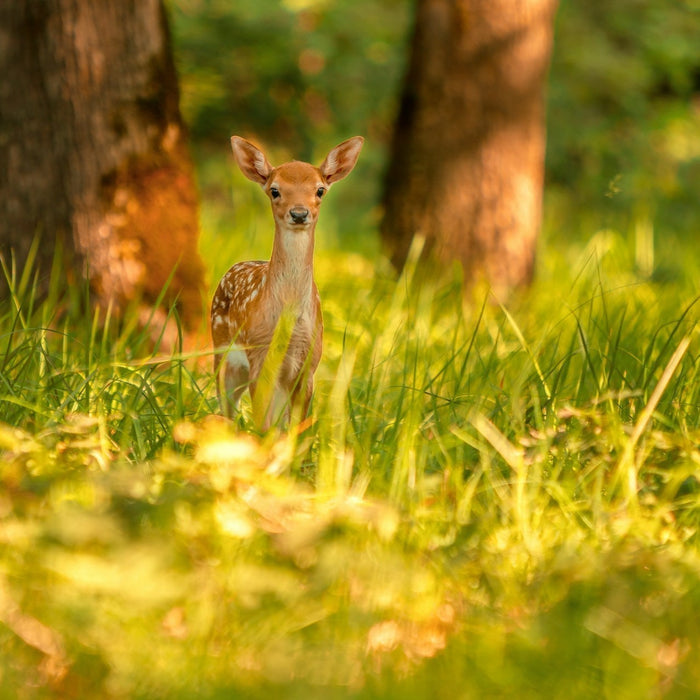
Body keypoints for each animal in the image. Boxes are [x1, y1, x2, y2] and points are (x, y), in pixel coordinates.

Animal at [211, 135, 364, 430]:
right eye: (274, 190)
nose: (299, 213)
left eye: (320, 190)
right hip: (222, 352)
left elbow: (295, 430)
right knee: (226, 410)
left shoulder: (309, 364)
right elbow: (263, 427)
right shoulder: (260, 358)